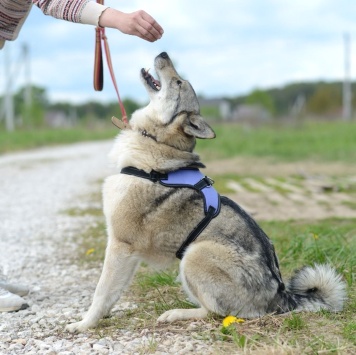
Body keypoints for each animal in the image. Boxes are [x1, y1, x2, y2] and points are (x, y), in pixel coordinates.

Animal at [65, 52, 346, 334]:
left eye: (178, 82)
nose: (163, 53)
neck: (157, 142)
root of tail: (281, 297)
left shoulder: (120, 244)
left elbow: (102, 290)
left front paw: (85, 323)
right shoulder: (127, 253)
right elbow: (114, 291)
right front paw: (102, 317)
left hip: (195, 254)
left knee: (217, 312)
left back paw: (176, 313)